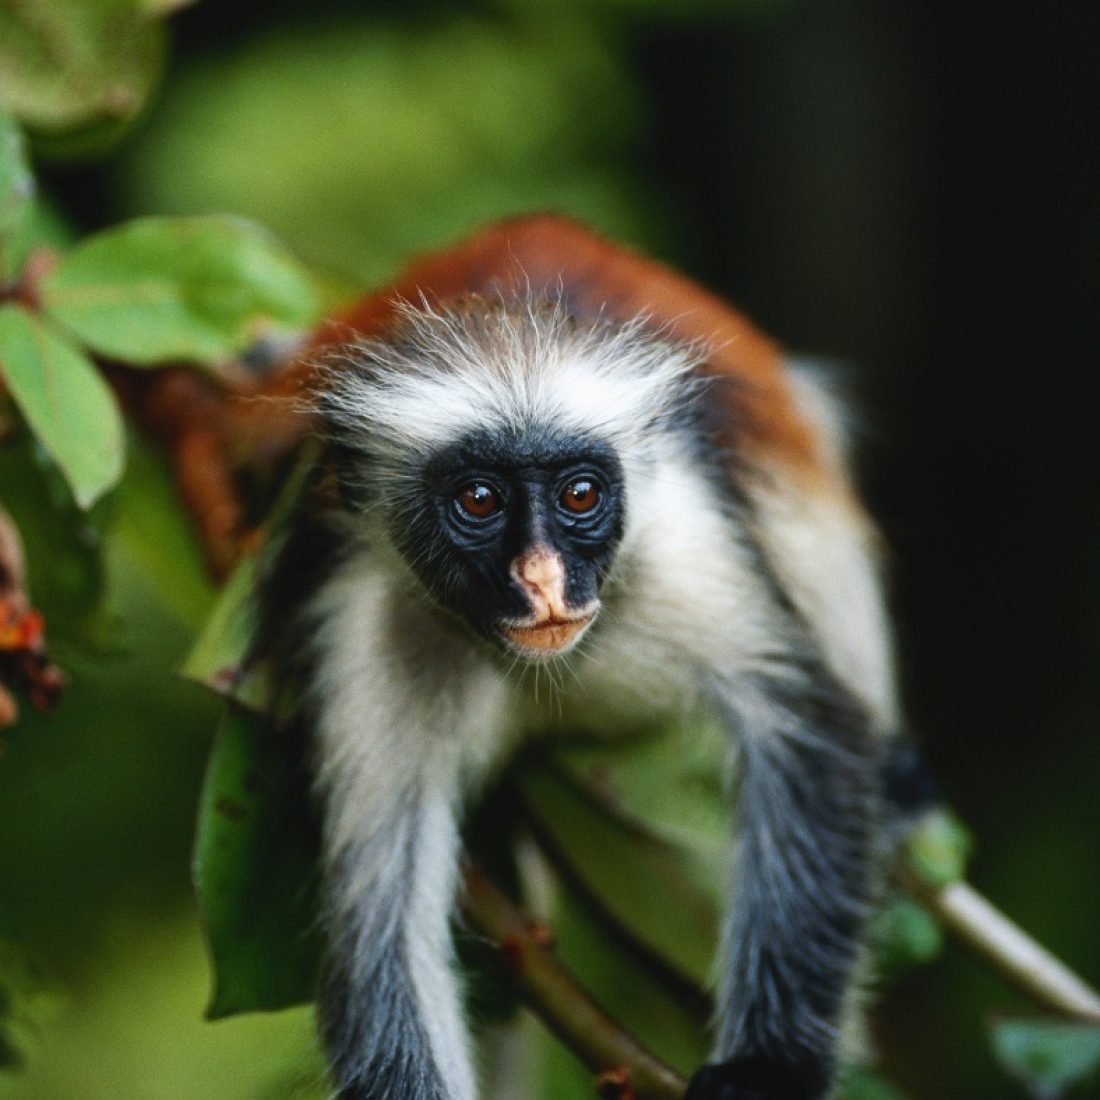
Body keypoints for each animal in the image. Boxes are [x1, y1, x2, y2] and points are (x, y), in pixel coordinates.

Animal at [255, 214, 904, 1100]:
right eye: (479, 501)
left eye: (580, 495)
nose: (543, 579)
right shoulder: (370, 613)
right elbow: (379, 901)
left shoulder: (681, 539)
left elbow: (807, 729)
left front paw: (766, 1070)